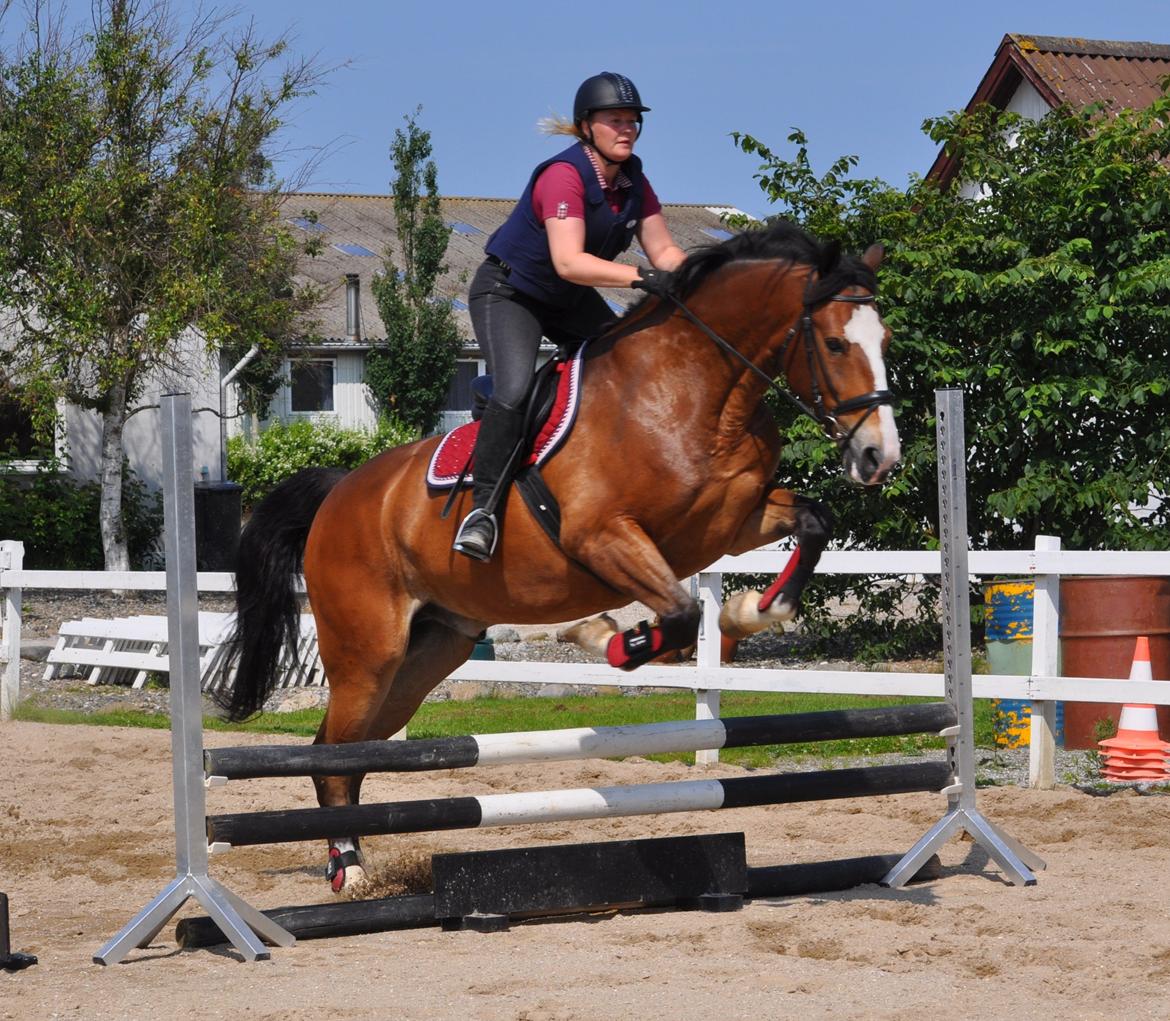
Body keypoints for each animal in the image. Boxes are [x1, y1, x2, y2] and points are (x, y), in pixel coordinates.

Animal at [212, 218, 903, 888]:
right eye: (835, 344)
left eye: (888, 340)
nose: (880, 457)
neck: (700, 393)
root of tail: (339, 492)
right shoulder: (602, 537)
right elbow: (679, 614)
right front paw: (605, 639)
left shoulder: (730, 524)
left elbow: (812, 524)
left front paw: (749, 613)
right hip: (367, 651)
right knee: (331, 750)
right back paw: (347, 868)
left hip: (429, 652)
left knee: (353, 751)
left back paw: (353, 855)